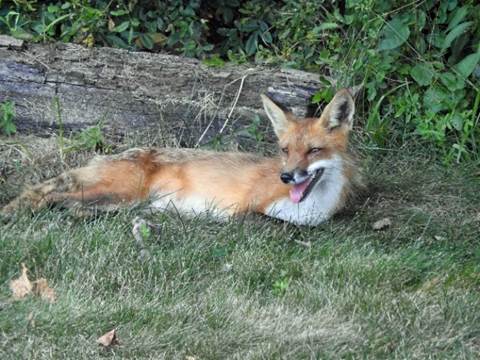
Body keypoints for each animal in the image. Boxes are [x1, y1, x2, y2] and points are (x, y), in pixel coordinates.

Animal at [0, 88, 360, 225]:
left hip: (119, 201)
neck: (311, 208)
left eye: (313, 150)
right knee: (47, 196)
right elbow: (262, 218)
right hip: (120, 194)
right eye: (285, 151)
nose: (286, 176)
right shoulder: (248, 209)